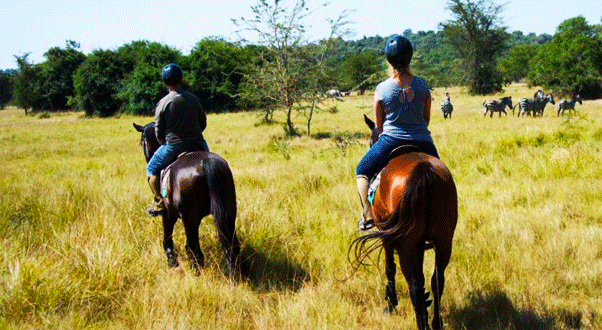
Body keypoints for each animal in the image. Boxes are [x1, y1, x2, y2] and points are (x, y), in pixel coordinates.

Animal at [132, 122, 245, 278]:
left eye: (142, 141)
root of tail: (206, 162)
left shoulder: (168, 213)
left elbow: (167, 236)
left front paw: (171, 260)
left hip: (190, 219)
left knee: (195, 250)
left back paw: (196, 273)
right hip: (229, 212)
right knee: (232, 246)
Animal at [350, 116, 458, 330]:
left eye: (370, 141)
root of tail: (424, 170)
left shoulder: (389, 238)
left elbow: (390, 268)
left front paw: (391, 304)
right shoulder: (419, 243)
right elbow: (423, 276)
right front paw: (425, 301)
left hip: (406, 243)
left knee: (413, 285)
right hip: (444, 240)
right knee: (437, 280)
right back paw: (436, 322)